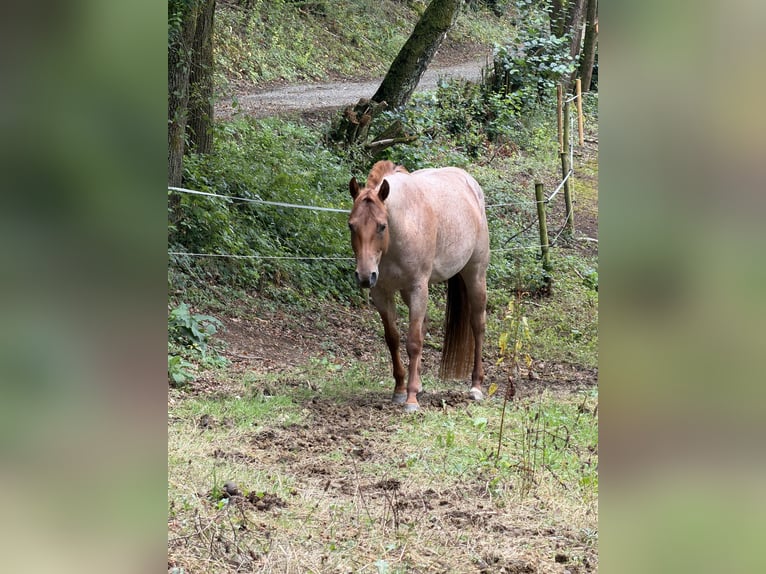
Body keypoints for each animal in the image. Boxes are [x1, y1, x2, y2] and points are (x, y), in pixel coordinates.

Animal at [348, 160, 490, 411]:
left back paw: (476, 386)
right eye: (351, 226)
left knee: (478, 325)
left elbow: (413, 342)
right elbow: (393, 338)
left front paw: (411, 399)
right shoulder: (381, 292)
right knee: (424, 326)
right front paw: (399, 389)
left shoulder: (418, 288)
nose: (364, 276)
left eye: (381, 226)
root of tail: (471, 183)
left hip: (475, 275)